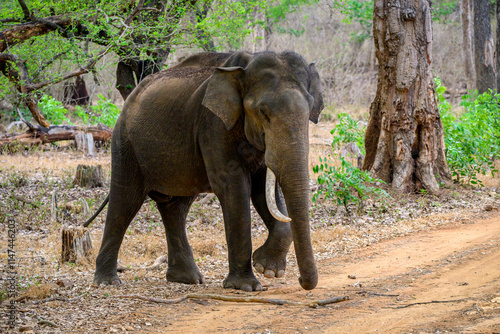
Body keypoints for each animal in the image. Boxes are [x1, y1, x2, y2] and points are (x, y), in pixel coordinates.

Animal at [94, 51, 324, 290]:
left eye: (310, 110)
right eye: (262, 111)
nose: (301, 280)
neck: (246, 66)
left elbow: (262, 189)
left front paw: (266, 268)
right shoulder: (213, 124)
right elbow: (233, 186)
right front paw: (247, 285)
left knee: (175, 207)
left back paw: (187, 279)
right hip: (125, 143)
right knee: (125, 201)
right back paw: (107, 281)